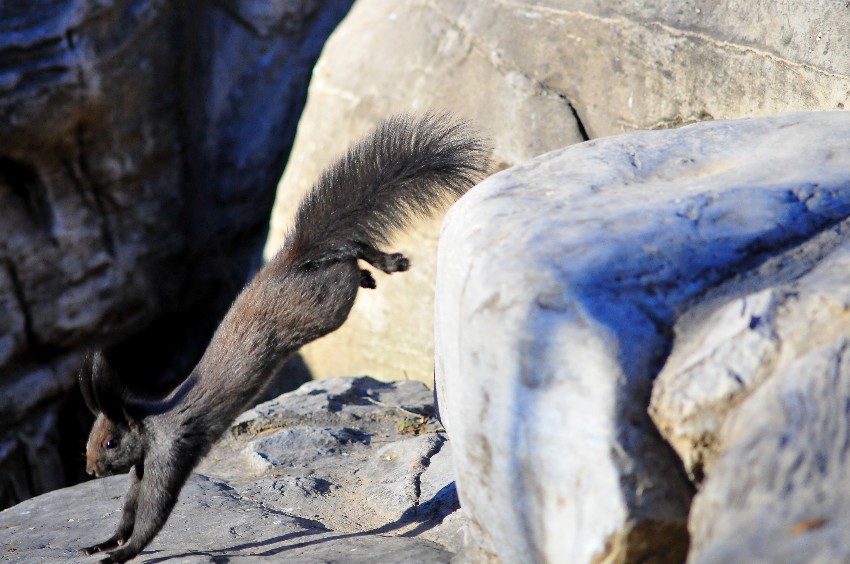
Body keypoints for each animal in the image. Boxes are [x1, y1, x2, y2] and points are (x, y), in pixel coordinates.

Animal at [79, 112, 490, 560]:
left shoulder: (171, 452)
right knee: (344, 254)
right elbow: (129, 508)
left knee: (347, 257)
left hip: (323, 305)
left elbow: (154, 513)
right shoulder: (141, 470)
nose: (90, 469)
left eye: (110, 443)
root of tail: (291, 258)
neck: (151, 428)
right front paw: (104, 542)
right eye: (93, 440)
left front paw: (123, 553)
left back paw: (379, 263)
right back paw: (373, 269)